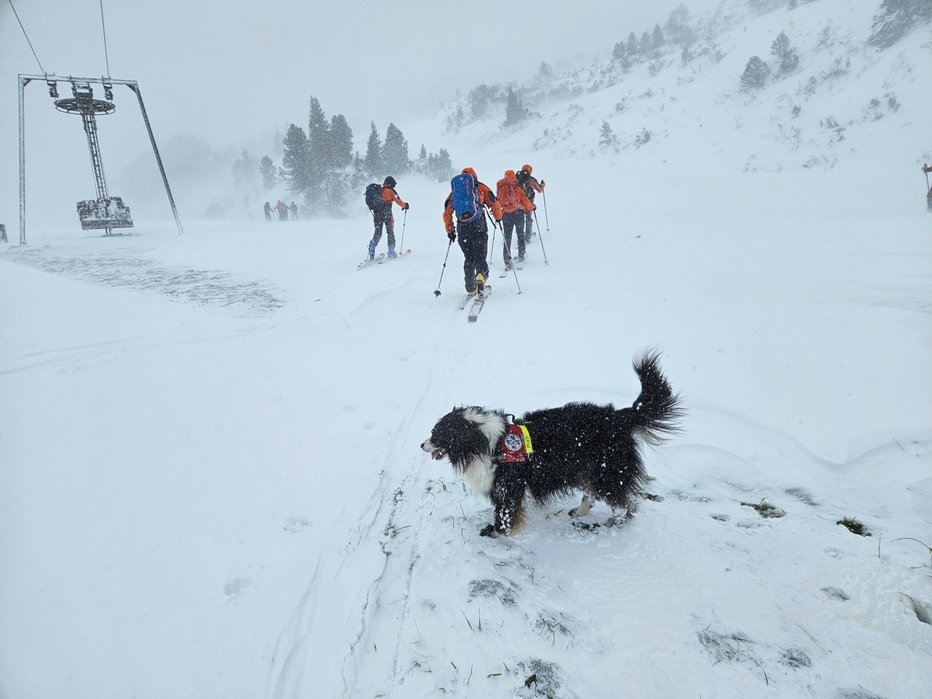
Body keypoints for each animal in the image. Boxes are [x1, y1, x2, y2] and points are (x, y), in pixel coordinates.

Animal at [418, 352, 680, 540]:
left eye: (436, 434)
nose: (421, 445)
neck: (484, 441)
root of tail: (617, 416)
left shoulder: (507, 485)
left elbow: (504, 513)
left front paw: (496, 532)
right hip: (589, 468)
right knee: (594, 493)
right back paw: (580, 512)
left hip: (608, 471)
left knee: (623, 501)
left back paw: (611, 524)